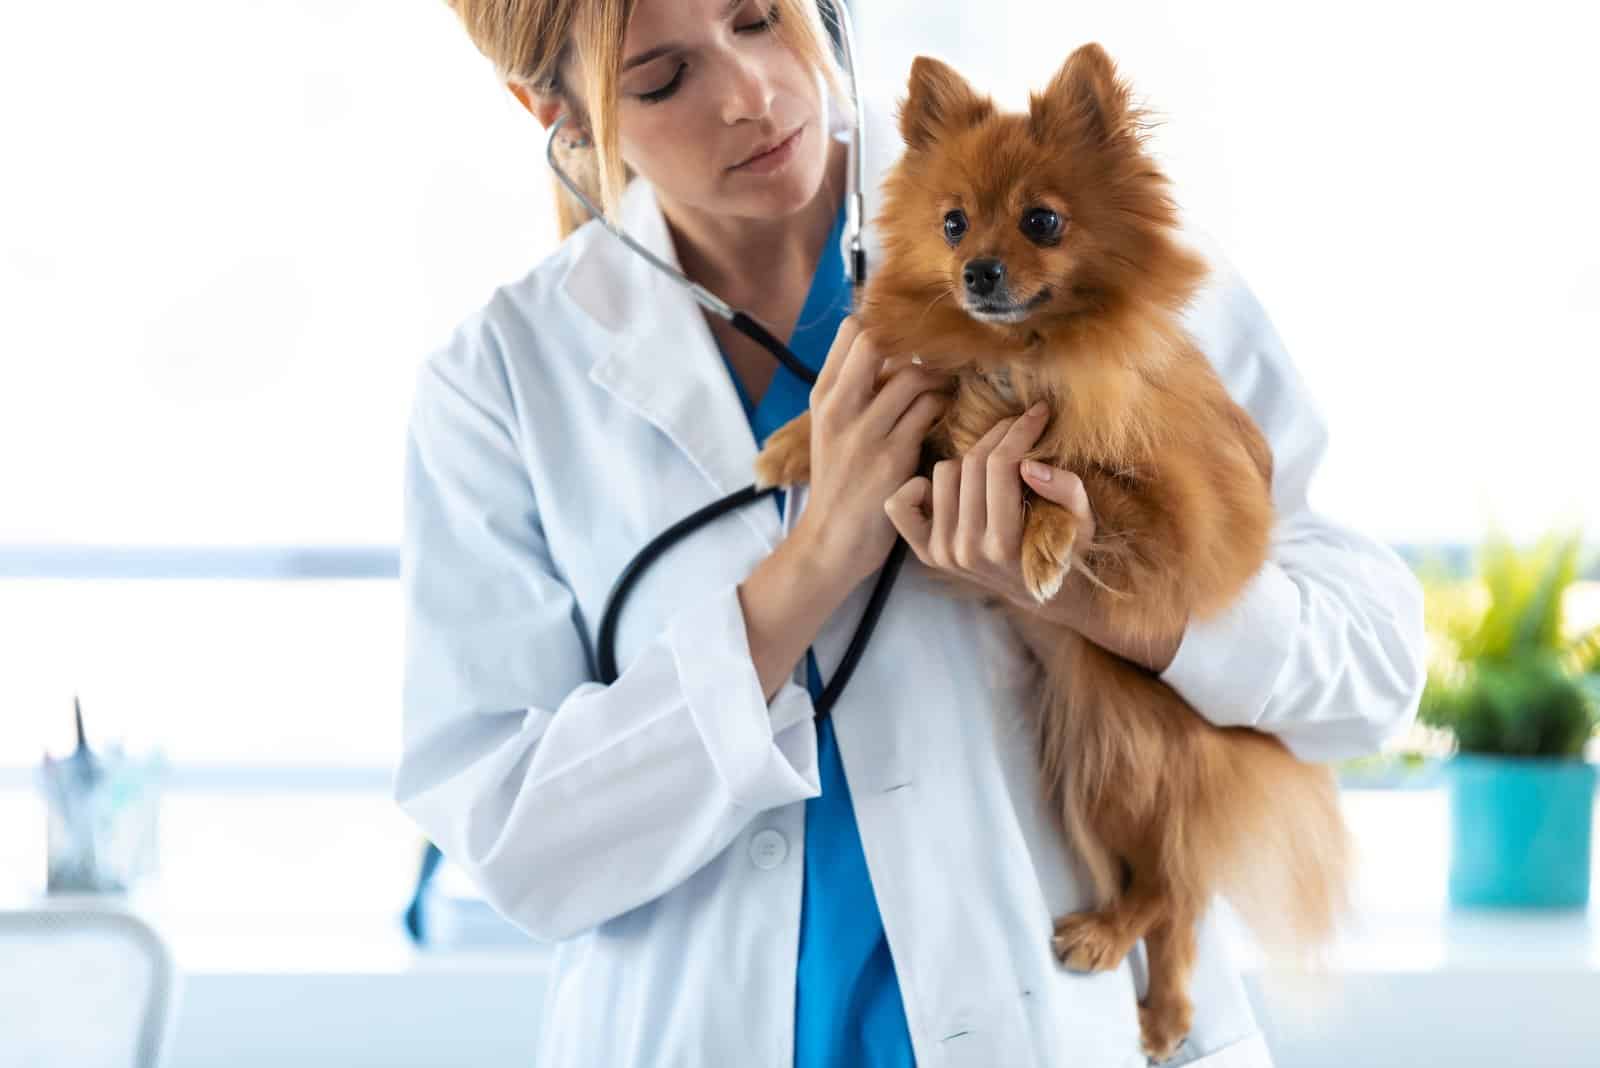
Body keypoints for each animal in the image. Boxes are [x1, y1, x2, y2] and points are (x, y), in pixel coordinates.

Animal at [755, 39, 1356, 1061]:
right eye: (953, 223)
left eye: (1042, 221)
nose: (978, 272)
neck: (1022, 352)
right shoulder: (938, 407)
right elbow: (921, 412)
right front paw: (794, 446)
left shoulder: (1183, 507)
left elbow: (1062, 465)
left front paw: (1041, 542)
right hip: (1087, 787)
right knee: (1174, 903)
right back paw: (1159, 1004)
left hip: (1133, 765)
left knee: (1171, 891)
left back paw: (1122, 958)